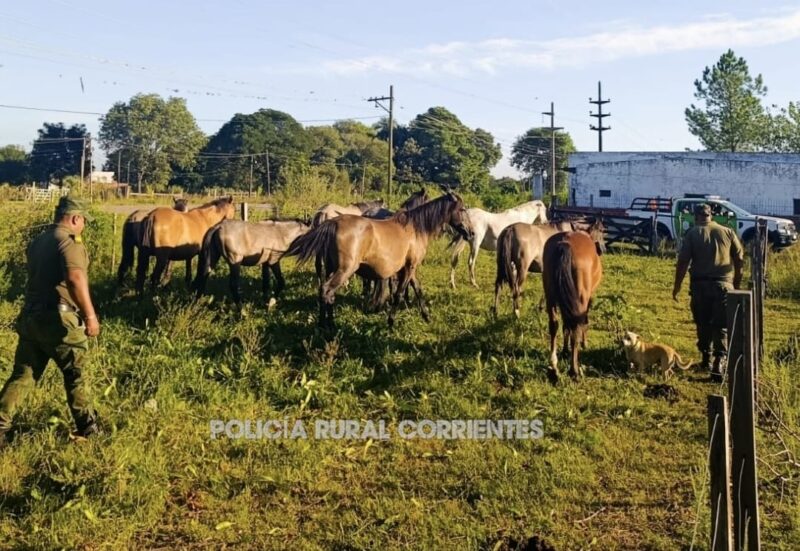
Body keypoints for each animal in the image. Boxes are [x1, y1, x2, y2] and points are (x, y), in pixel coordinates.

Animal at [286, 190, 469, 328]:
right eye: (461, 209)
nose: (468, 232)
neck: (415, 228)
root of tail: (333, 222)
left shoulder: (409, 267)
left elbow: (417, 289)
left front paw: (426, 316)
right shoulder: (409, 268)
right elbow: (399, 293)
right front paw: (391, 321)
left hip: (330, 267)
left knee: (325, 292)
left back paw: (324, 323)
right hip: (344, 270)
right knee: (327, 291)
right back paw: (329, 325)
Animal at [541, 220, 606, 381]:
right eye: (602, 230)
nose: (603, 249)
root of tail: (565, 243)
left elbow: (566, 325)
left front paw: (564, 351)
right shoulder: (587, 299)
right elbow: (583, 322)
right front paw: (584, 343)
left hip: (551, 298)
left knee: (554, 325)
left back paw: (554, 367)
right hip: (580, 298)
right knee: (576, 325)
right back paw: (574, 371)